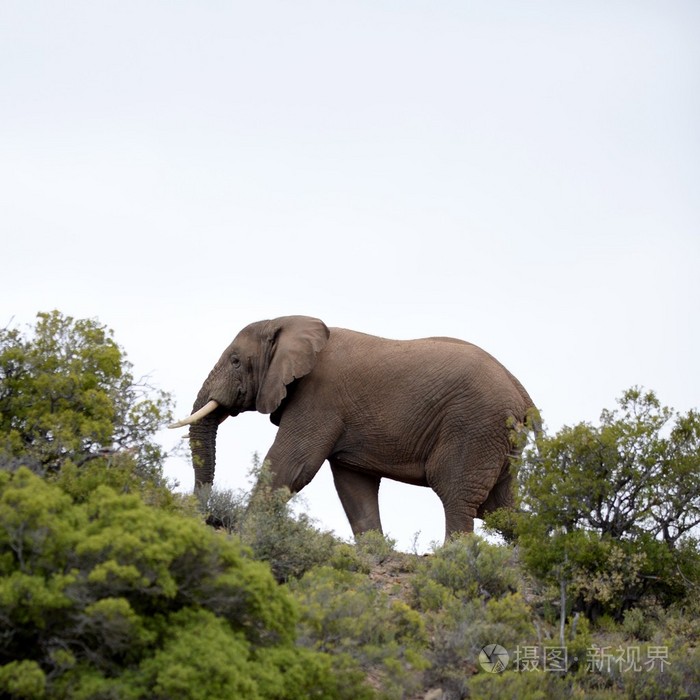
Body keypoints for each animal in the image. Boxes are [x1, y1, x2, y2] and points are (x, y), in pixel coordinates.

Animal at [170, 314, 536, 540]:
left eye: (235, 361)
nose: (208, 518)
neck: (286, 322)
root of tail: (522, 395)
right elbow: (354, 486)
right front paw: (376, 551)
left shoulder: (319, 397)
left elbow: (291, 465)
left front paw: (245, 532)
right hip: (498, 438)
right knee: (499, 506)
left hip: (474, 427)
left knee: (457, 495)